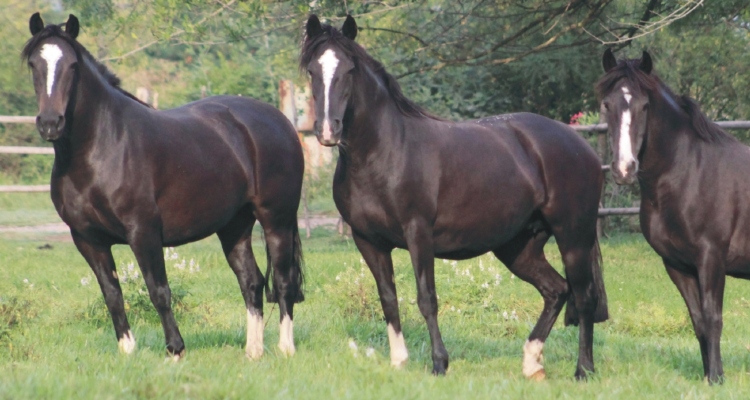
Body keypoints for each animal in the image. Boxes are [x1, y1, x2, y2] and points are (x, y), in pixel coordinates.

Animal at [23, 14, 306, 360]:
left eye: (72, 65)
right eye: (34, 64)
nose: (51, 123)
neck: (102, 147)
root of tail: (280, 121)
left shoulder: (143, 232)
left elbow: (158, 291)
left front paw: (175, 350)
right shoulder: (88, 240)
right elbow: (112, 295)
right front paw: (127, 351)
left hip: (276, 220)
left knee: (283, 282)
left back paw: (286, 347)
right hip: (234, 226)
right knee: (251, 281)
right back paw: (253, 351)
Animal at [302, 14, 608, 378]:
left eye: (349, 69)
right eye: (312, 71)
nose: (328, 130)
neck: (385, 151)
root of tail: (582, 146)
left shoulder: (418, 233)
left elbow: (426, 298)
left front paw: (439, 363)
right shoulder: (368, 240)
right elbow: (388, 298)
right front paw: (399, 361)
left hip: (573, 236)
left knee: (584, 296)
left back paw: (584, 370)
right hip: (518, 247)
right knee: (556, 290)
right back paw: (532, 363)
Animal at [604, 48, 750, 382]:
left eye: (645, 105)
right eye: (606, 105)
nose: (624, 169)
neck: (689, 173)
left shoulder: (711, 259)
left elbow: (713, 317)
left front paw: (717, 379)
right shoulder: (677, 265)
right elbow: (698, 321)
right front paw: (709, 377)